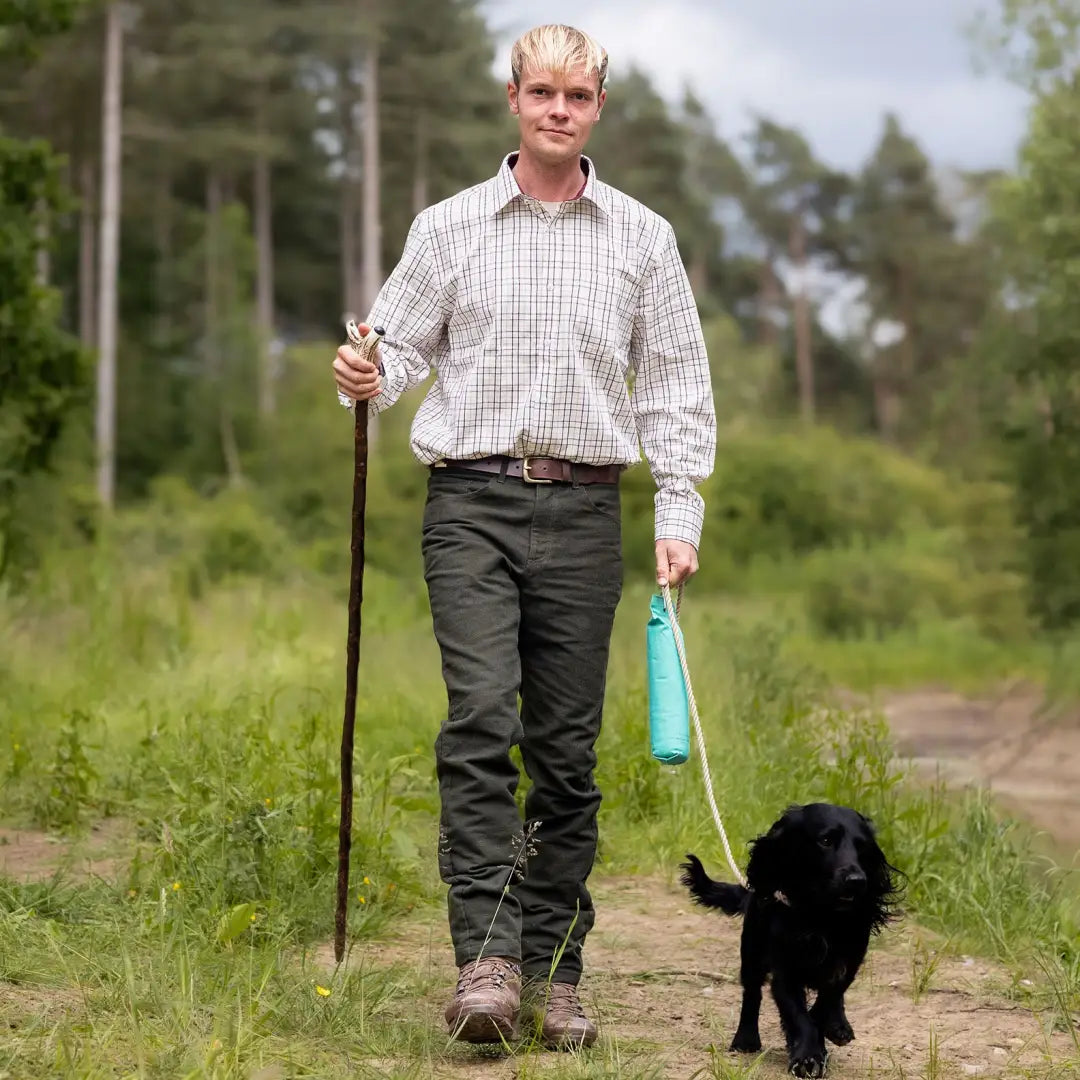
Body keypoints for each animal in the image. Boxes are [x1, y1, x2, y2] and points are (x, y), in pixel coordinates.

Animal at [682, 807, 902, 1075]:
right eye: (825, 840)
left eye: (862, 847)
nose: (857, 881)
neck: (821, 916)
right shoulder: (785, 972)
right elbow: (800, 1016)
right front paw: (808, 1057)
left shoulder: (848, 963)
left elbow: (827, 1001)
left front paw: (824, 1035)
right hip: (752, 951)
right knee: (752, 994)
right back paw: (746, 1039)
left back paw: (838, 1025)